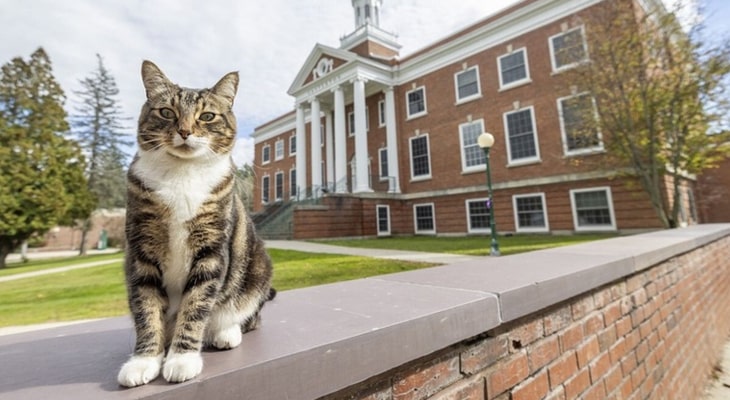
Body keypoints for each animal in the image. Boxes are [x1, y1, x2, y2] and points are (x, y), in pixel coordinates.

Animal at [118, 60, 274, 388]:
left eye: (207, 115)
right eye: (167, 112)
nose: (185, 131)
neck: (182, 174)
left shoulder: (211, 249)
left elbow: (196, 305)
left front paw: (182, 359)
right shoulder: (141, 250)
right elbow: (146, 308)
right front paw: (143, 361)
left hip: (258, 268)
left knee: (249, 315)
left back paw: (226, 332)